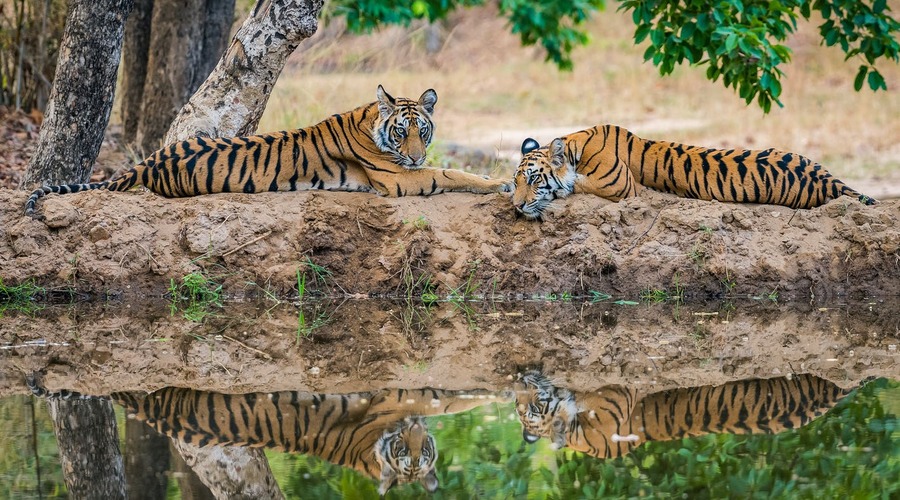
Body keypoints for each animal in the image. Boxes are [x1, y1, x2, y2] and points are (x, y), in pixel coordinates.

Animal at [24, 85, 510, 217]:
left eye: (423, 131)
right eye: (402, 131)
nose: (415, 156)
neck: (371, 119)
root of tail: (148, 162)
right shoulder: (395, 179)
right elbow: (450, 173)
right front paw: (502, 183)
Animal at [26, 376, 506, 496]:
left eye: (424, 454)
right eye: (405, 453)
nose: (417, 435)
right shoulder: (400, 397)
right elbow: (456, 398)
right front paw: (502, 393)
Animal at [512, 124, 880, 218]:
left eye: (534, 179)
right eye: (516, 181)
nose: (516, 206)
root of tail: (829, 180)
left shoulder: (619, 187)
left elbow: (576, 185)